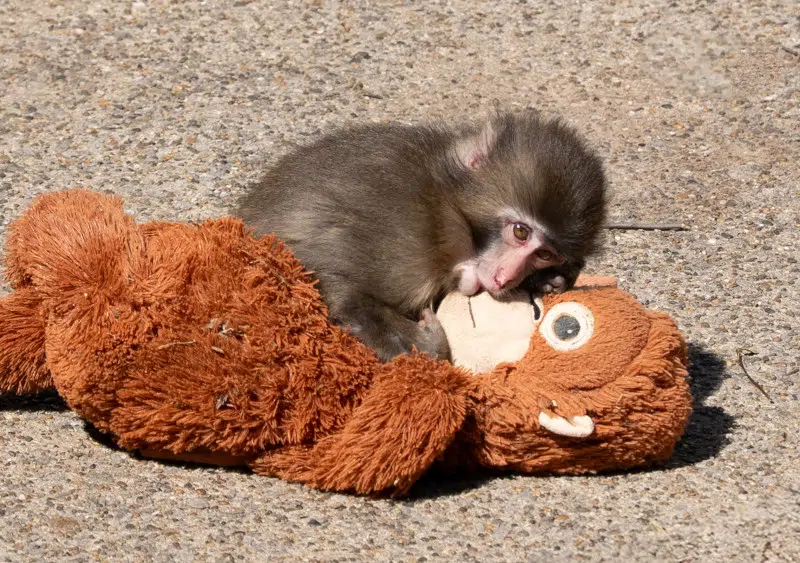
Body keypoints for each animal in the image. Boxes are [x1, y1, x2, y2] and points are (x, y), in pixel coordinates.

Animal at [235, 110, 607, 362]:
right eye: (520, 231)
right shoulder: (405, 235)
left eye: (544, 254)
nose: (506, 278)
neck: (445, 205)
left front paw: (549, 280)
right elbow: (332, 283)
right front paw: (430, 343)